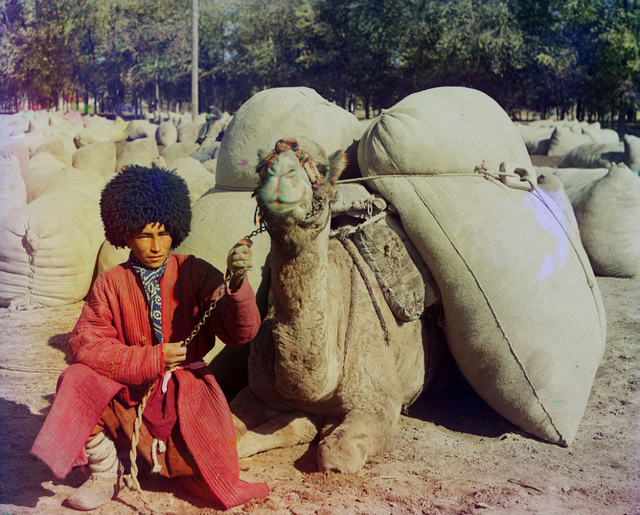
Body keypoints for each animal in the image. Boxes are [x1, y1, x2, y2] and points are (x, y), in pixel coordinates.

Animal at [230, 139, 444, 474]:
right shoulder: (257, 391)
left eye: (318, 167)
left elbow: (335, 454)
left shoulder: (378, 401)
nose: (281, 174)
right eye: (262, 167)